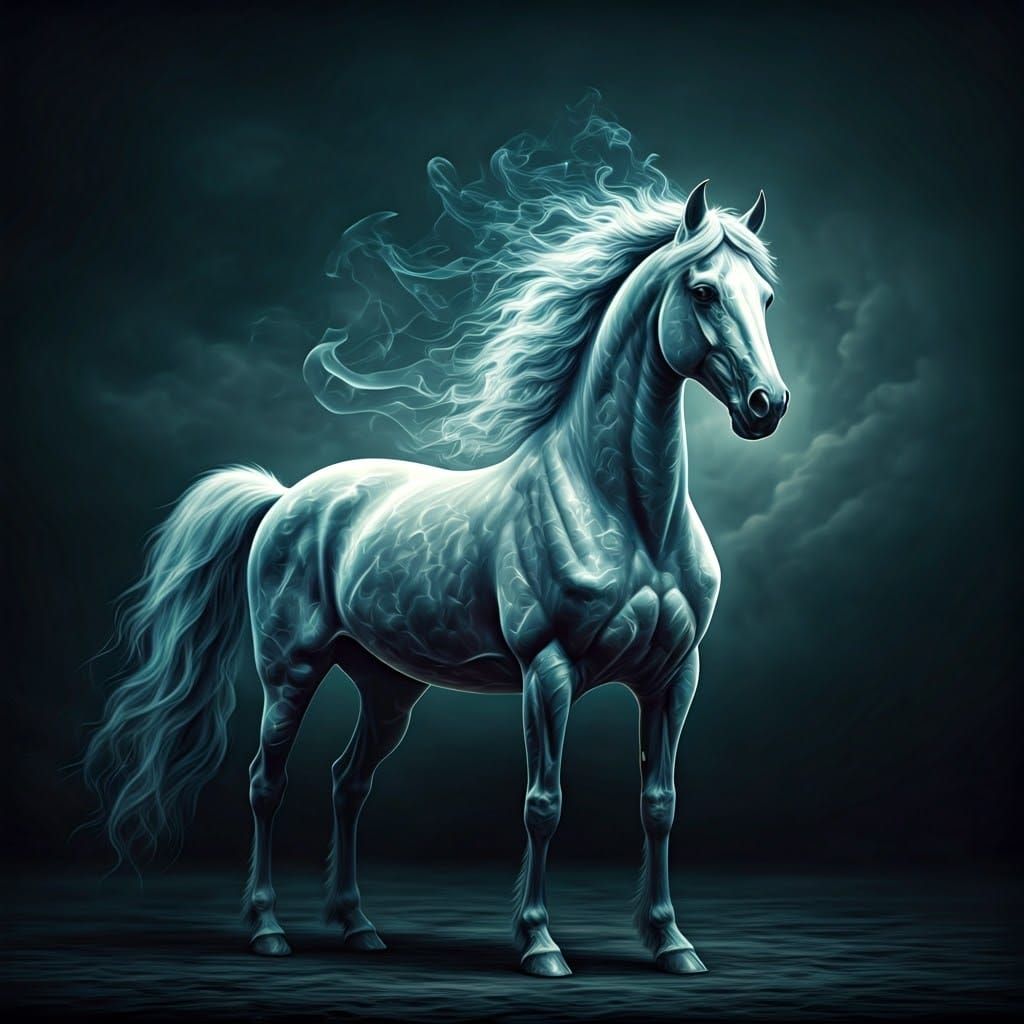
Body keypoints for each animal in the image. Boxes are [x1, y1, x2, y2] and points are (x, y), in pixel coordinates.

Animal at [83, 173, 787, 978]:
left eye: (766, 297)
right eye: (703, 291)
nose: (767, 406)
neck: (632, 519)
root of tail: (286, 496)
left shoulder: (674, 677)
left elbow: (660, 805)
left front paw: (672, 943)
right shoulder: (549, 672)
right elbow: (543, 804)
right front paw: (540, 944)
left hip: (389, 687)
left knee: (348, 784)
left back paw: (359, 927)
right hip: (289, 671)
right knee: (267, 783)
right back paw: (268, 930)